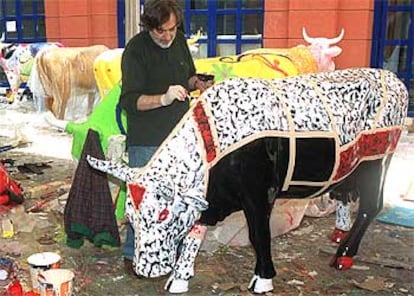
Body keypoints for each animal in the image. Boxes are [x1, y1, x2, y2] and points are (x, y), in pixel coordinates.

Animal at [86, 67, 408, 294]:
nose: (144, 269)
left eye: (164, 214)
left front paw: (263, 279)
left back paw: (343, 255)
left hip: (379, 159)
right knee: (345, 196)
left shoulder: (259, 194)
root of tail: (394, 79)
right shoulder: (208, 198)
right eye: (129, 215)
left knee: (371, 206)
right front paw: (179, 277)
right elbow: (193, 233)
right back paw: (339, 233)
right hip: (351, 166)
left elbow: (258, 234)